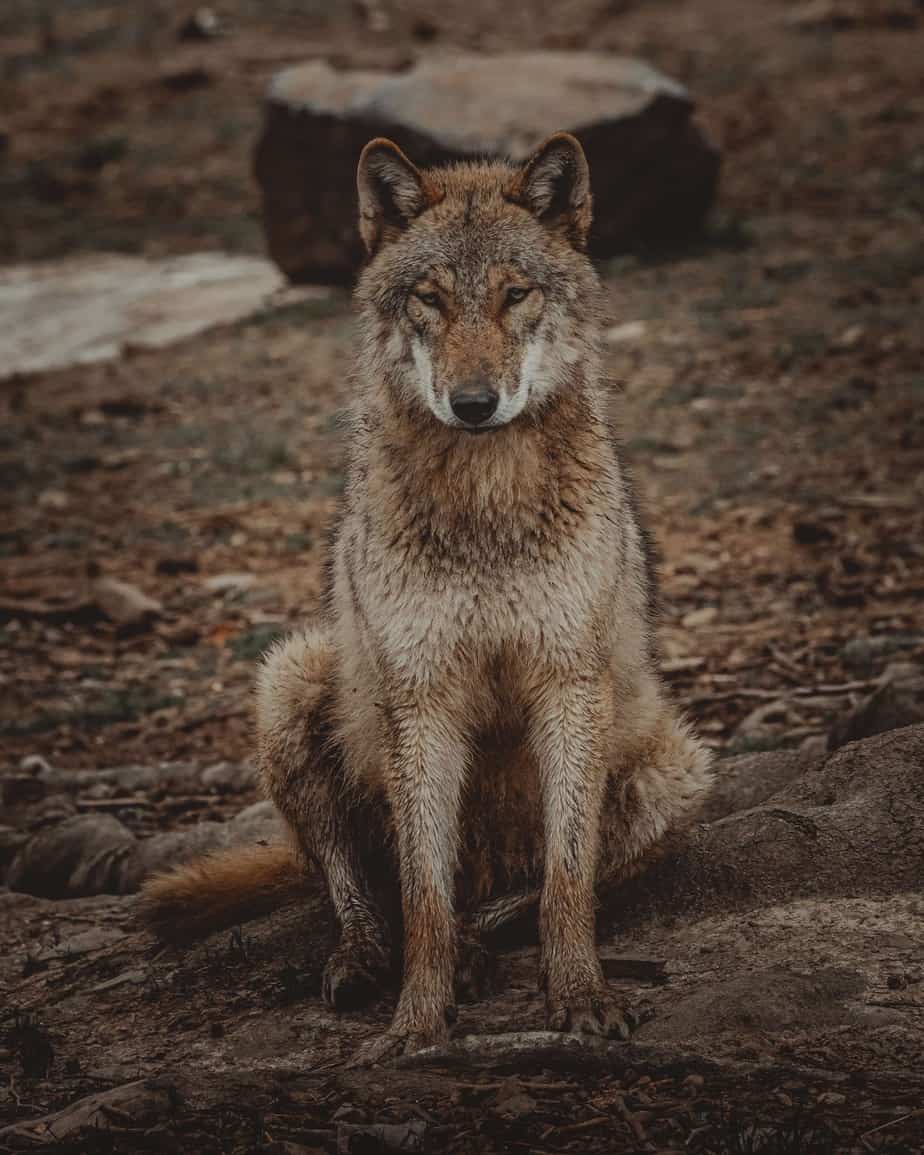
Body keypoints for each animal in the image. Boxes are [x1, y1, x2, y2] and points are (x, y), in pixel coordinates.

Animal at [140, 132, 711, 1062]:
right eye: (431, 300)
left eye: (515, 294)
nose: (474, 403)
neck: (485, 500)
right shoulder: (423, 698)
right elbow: (422, 897)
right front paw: (415, 1024)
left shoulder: (568, 684)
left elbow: (567, 880)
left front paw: (581, 997)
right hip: (292, 676)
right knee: (356, 885)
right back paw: (369, 961)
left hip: (681, 765)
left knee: (522, 891)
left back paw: (486, 946)